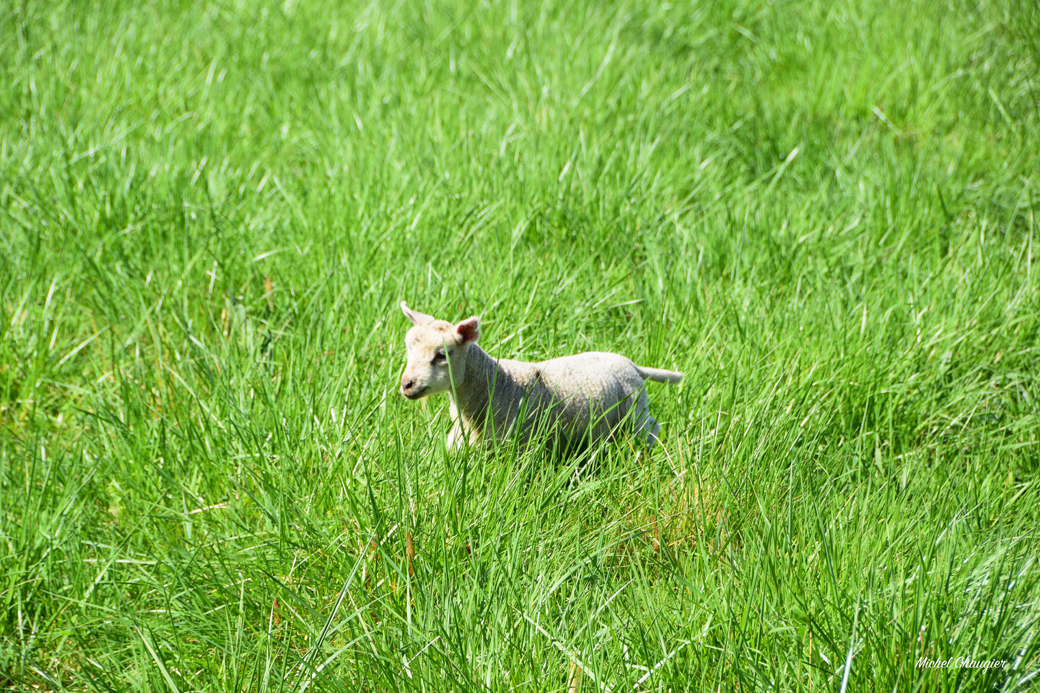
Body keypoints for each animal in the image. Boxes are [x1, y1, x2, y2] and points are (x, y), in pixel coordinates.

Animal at [398, 302, 682, 452]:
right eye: (408, 347)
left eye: (442, 355)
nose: (406, 385)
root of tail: (631, 365)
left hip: (635, 413)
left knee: (651, 428)